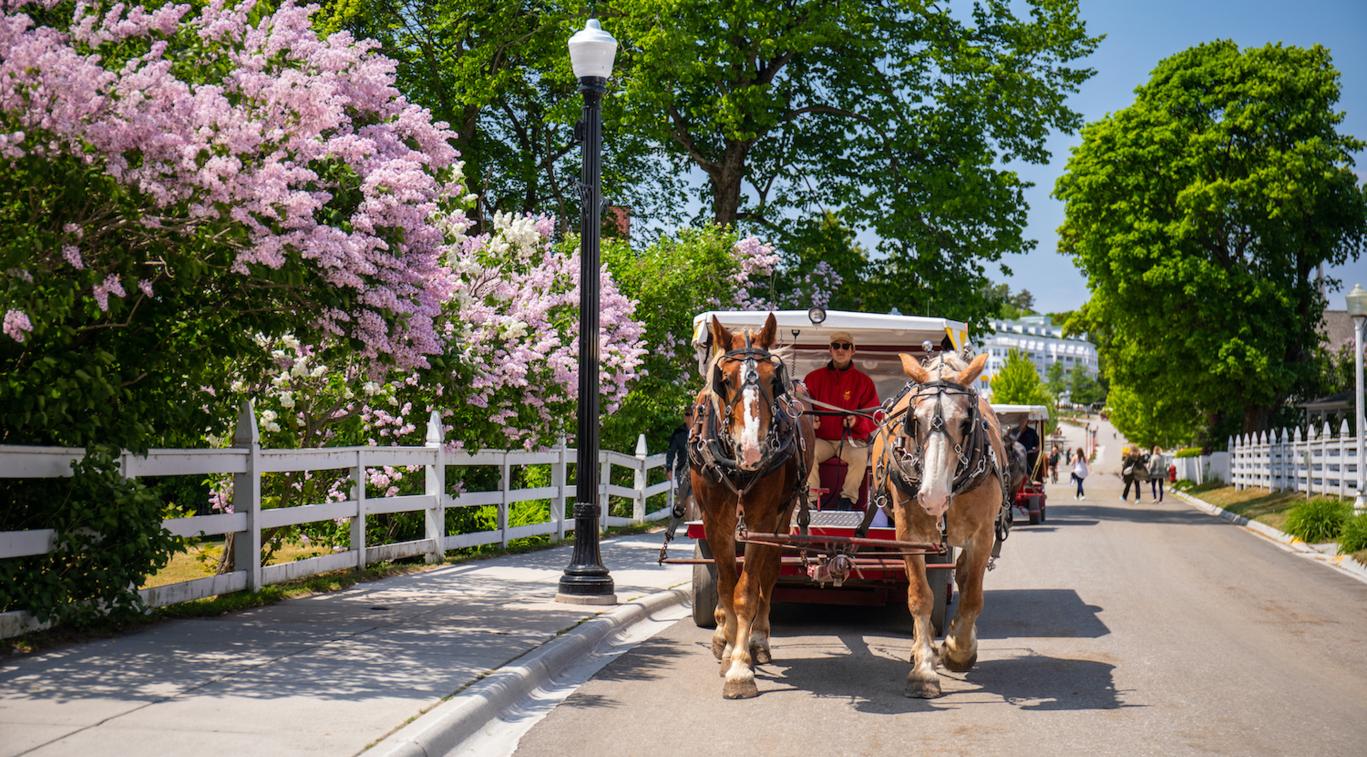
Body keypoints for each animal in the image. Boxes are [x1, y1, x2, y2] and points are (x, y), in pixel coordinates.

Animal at [694, 310, 809, 694]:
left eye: (774, 379)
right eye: (725, 380)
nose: (753, 450)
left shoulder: (761, 519)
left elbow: (746, 590)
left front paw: (741, 666)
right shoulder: (715, 520)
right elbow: (726, 584)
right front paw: (729, 647)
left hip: (783, 514)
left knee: (768, 573)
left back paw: (758, 641)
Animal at [869, 349, 1011, 694]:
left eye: (965, 422)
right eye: (914, 421)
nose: (932, 496)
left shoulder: (982, 537)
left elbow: (972, 597)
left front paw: (957, 650)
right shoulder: (908, 535)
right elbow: (920, 596)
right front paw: (924, 668)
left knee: (963, 576)